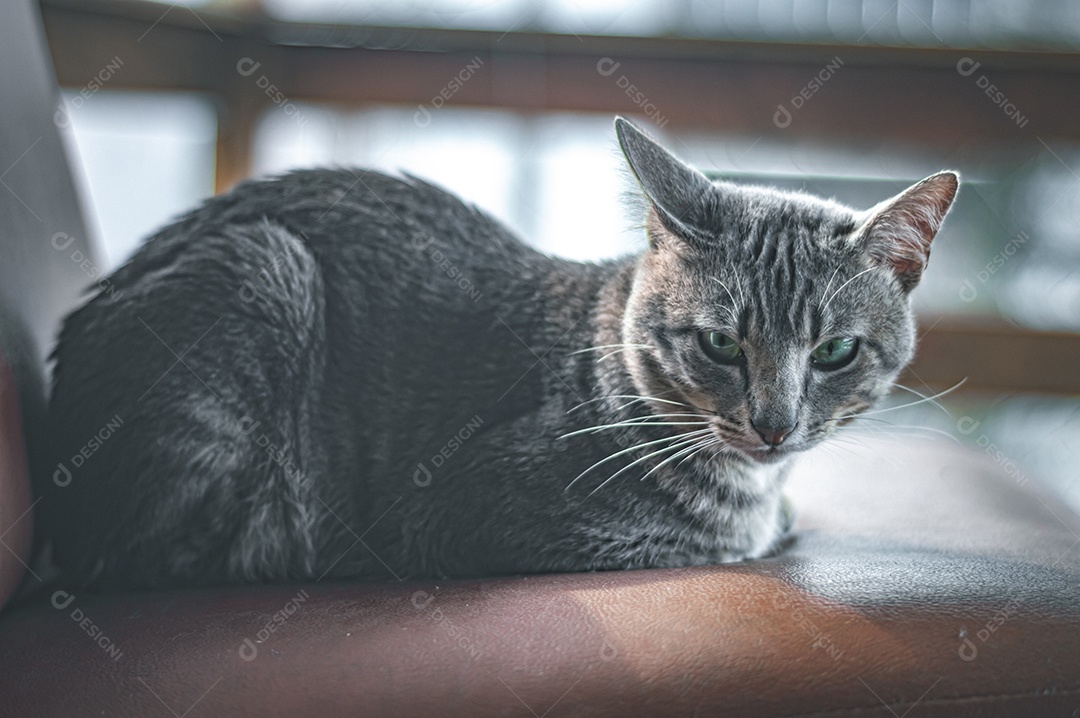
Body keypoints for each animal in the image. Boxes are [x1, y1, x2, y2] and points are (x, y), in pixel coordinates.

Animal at [38, 118, 959, 587]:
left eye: (835, 350)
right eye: (720, 343)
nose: (773, 424)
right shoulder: (459, 511)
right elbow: (720, 539)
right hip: (263, 269)